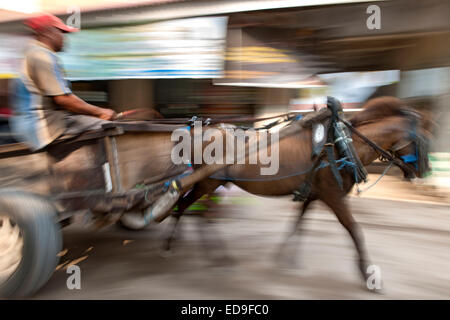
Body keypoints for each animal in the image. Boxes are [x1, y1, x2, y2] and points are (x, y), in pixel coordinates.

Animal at [164, 96, 432, 288]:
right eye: (422, 139)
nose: (425, 171)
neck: (342, 145)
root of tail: (198, 131)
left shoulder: (313, 194)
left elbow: (298, 224)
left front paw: (284, 257)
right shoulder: (334, 197)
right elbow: (355, 231)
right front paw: (367, 274)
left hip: (209, 184)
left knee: (193, 211)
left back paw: (185, 246)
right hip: (208, 183)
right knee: (196, 212)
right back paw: (204, 252)